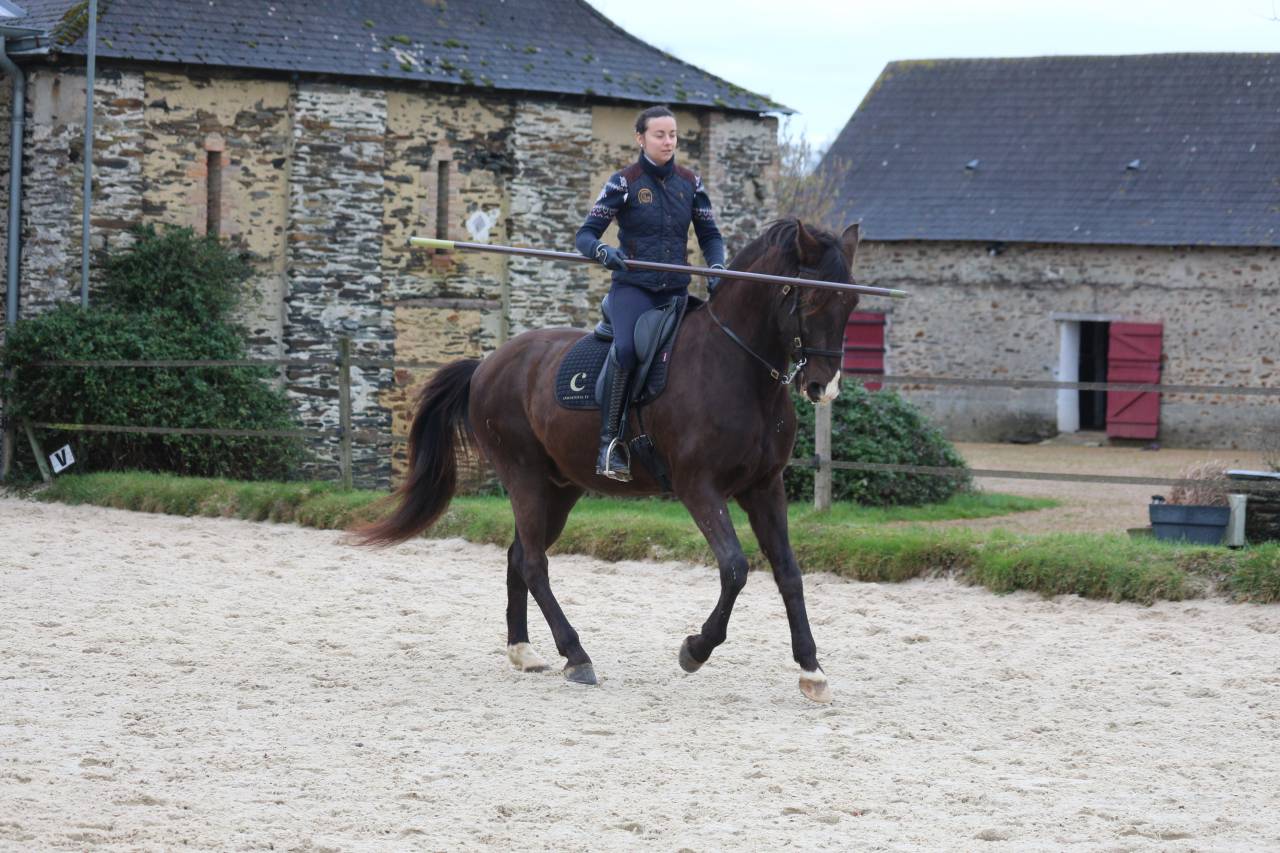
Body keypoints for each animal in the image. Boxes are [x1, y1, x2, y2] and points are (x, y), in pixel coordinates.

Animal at [357, 218, 862, 703]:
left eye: (852, 303)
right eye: (812, 298)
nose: (824, 387)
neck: (736, 366)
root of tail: (486, 365)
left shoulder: (764, 487)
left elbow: (789, 573)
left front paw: (812, 671)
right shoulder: (699, 488)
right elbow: (736, 569)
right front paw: (695, 649)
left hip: (560, 488)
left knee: (520, 554)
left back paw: (523, 651)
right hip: (523, 476)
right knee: (534, 562)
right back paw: (576, 656)